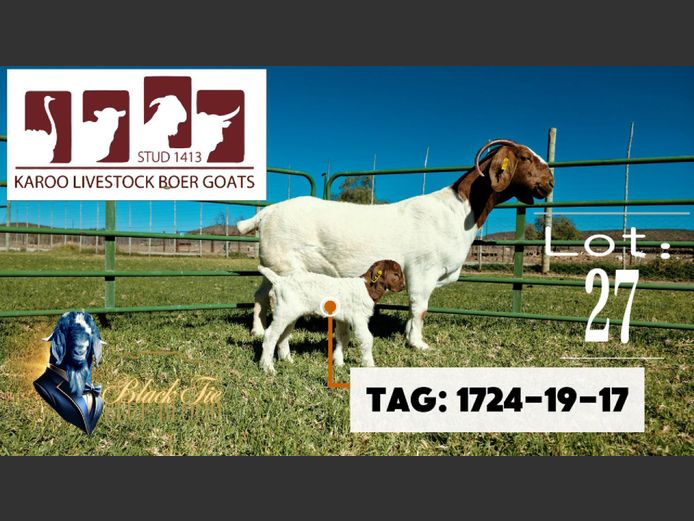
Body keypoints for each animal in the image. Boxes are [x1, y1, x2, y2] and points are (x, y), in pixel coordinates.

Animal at [237, 139, 554, 350]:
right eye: (526, 157)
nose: (550, 181)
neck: (457, 211)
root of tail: (268, 212)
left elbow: (416, 309)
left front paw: (408, 334)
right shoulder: (423, 270)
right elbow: (420, 307)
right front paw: (418, 344)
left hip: (274, 266)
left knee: (259, 293)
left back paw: (257, 331)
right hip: (283, 266)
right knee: (269, 296)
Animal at [256, 260, 405, 374]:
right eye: (396, 274)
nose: (403, 286)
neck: (366, 287)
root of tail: (279, 281)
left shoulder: (342, 319)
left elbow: (343, 337)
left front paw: (339, 363)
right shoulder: (359, 318)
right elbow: (367, 339)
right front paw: (369, 365)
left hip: (289, 314)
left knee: (283, 336)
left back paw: (287, 360)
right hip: (284, 312)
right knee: (270, 335)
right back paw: (268, 368)